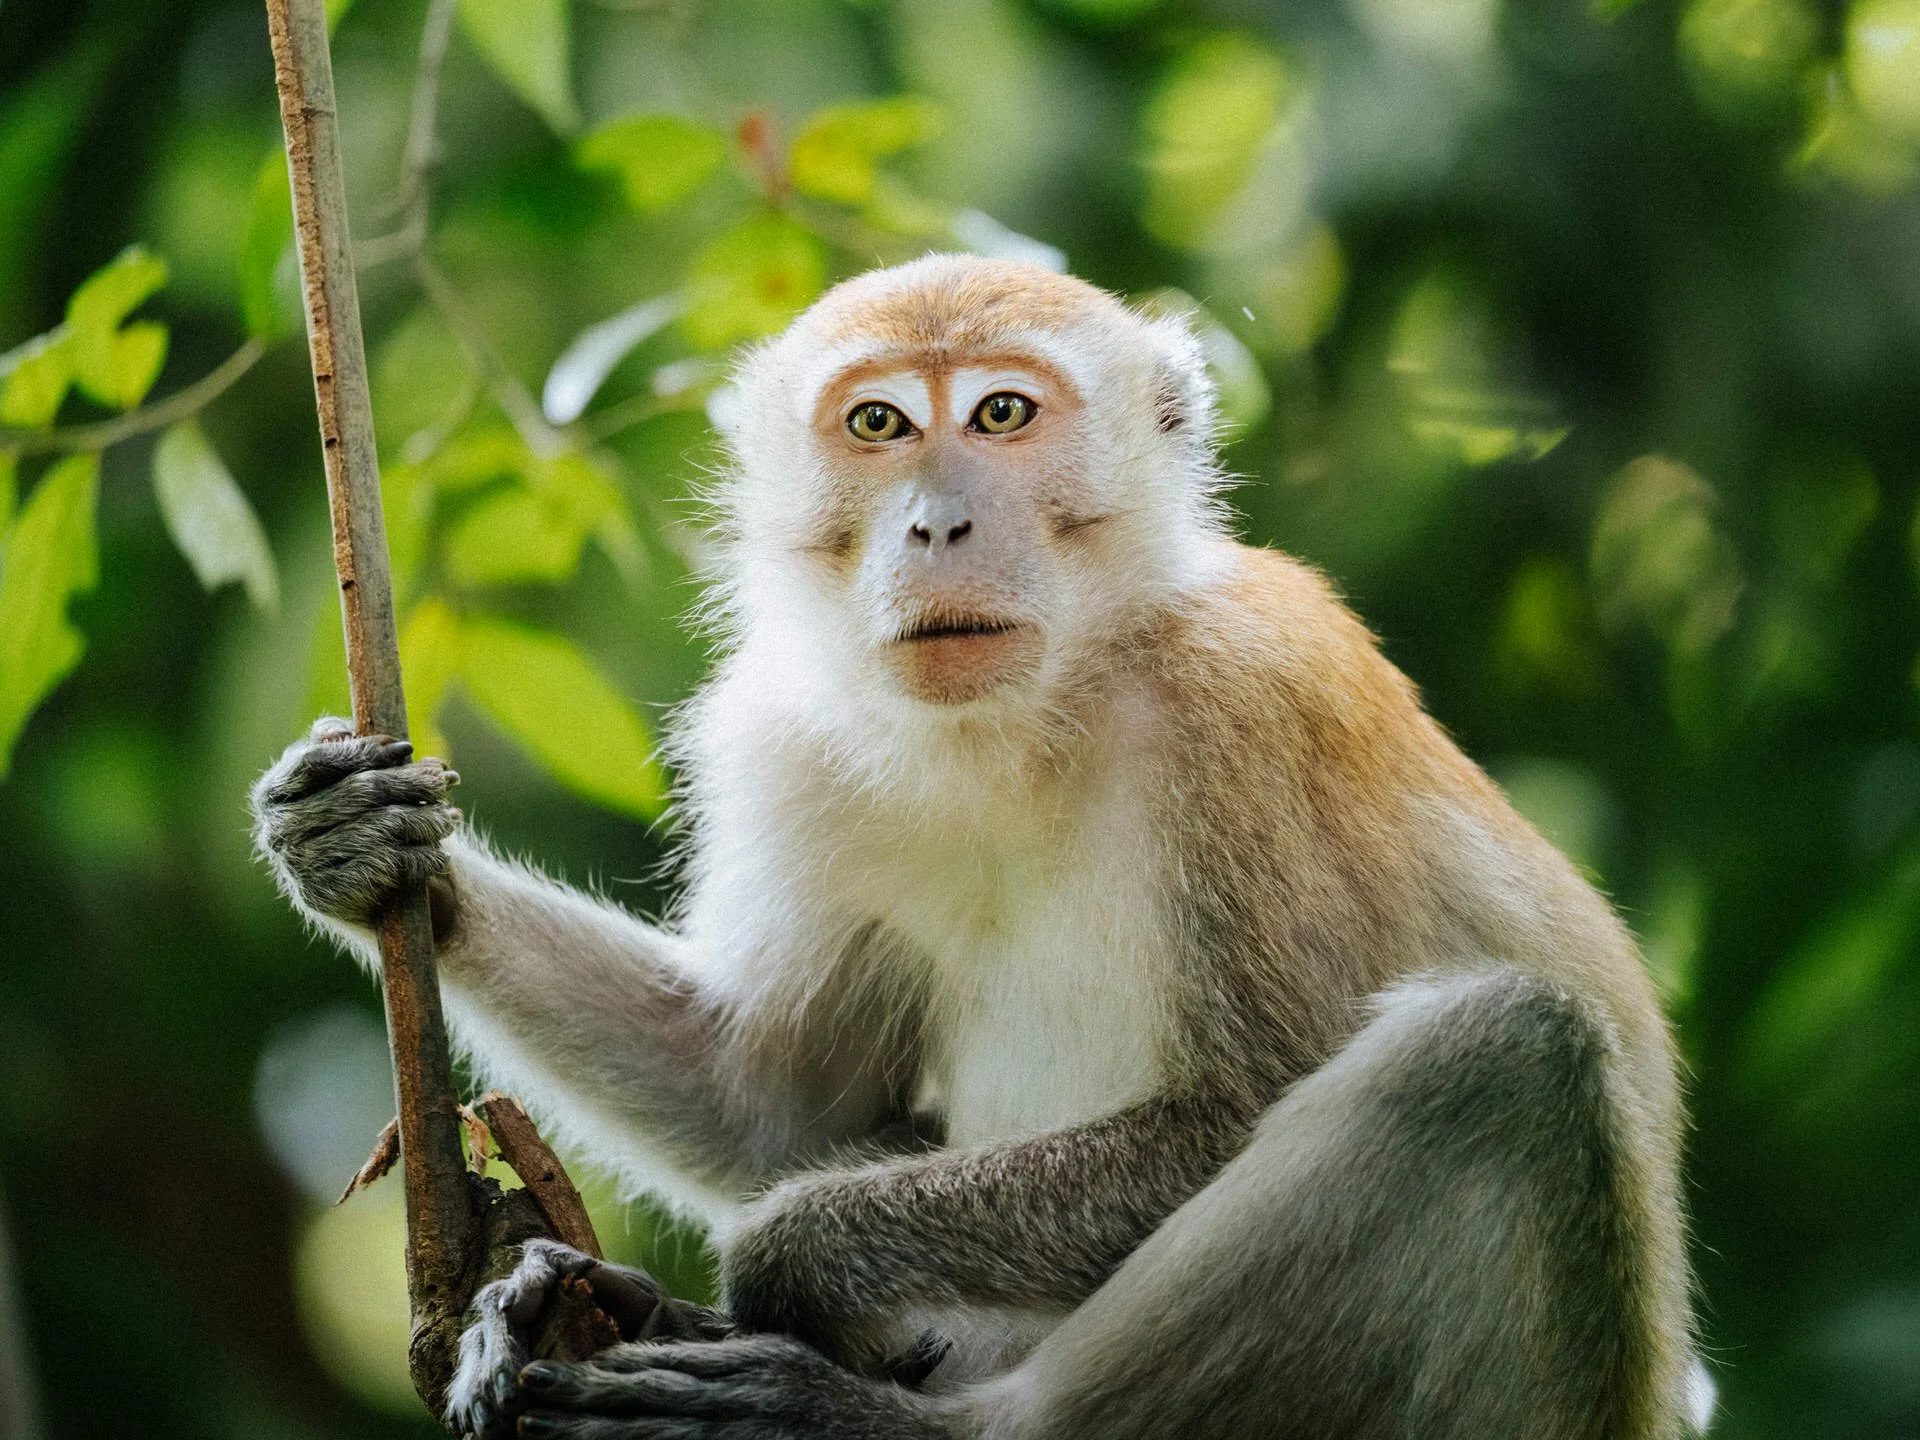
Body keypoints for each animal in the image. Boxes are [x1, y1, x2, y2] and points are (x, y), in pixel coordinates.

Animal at [252, 254, 1708, 1440]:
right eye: (880, 424)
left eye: (1003, 414)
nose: (938, 521)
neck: (1040, 714)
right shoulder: (789, 748)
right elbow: (769, 1100)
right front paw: (369, 856)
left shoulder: (1248, 696)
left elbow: (1244, 1099)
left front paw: (793, 1262)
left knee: (1508, 1056)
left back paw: (875, 1421)